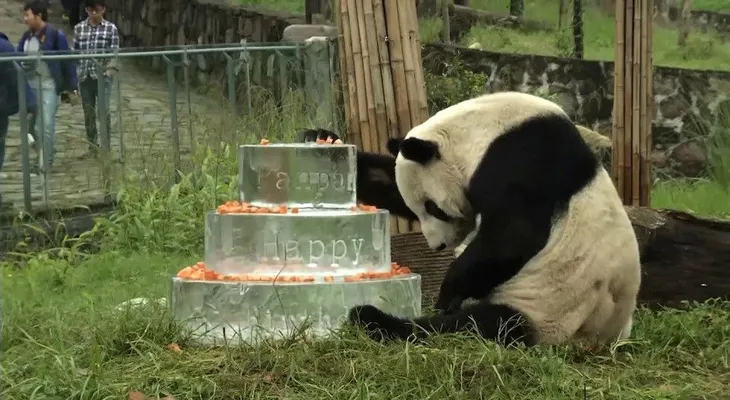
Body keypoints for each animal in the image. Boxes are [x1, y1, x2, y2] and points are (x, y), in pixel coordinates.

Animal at [342, 91, 642, 348]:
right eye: (417, 209)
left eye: (434, 208)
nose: (438, 246)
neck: (481, 130)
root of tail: (602, 340)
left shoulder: (524, 158)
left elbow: (514, 235)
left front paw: (448, 293)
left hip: (550, 309)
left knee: (480, 324)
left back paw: (373, 317)